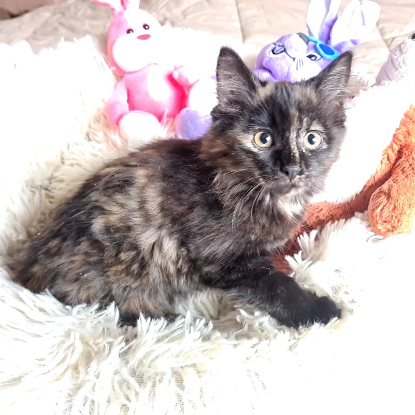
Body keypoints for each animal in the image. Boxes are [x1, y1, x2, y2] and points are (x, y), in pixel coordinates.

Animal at [15, 47, 352, 328]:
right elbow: (278, 287)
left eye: (312, 139)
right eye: (263, 139)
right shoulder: (225, 261)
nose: (293, 169)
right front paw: (318, 312)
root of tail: (25, 269)